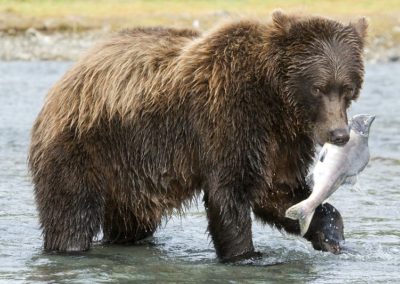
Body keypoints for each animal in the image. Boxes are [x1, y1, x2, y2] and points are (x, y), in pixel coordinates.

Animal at [27, 12, 366, 262]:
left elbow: (278, 191)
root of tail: (68, 76)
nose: (338, 134)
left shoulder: (281, 142)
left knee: (130, 221)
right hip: (85, 148)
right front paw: (245, 255)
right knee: (72, 213)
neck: (275, 102)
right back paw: (70, 248)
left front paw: (330, 233)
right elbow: (230, 192)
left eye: (347, 87)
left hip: (130, 174)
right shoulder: (229, 116)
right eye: (318, 87)